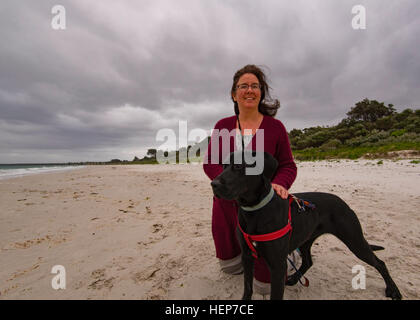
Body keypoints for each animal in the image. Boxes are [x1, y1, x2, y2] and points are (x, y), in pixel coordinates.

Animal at [212, 152, 402, 300]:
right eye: (223, 166)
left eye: (238, 166)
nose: (213, 184)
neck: (254, 210)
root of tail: (343, 203)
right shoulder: (247, 256)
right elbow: (247, 287)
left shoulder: (277, 265)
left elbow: (275, 294)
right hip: (305, 239)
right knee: (308, 261)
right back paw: (294, 278)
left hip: (354, 240)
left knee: (380, 263)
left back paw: (393, 290)